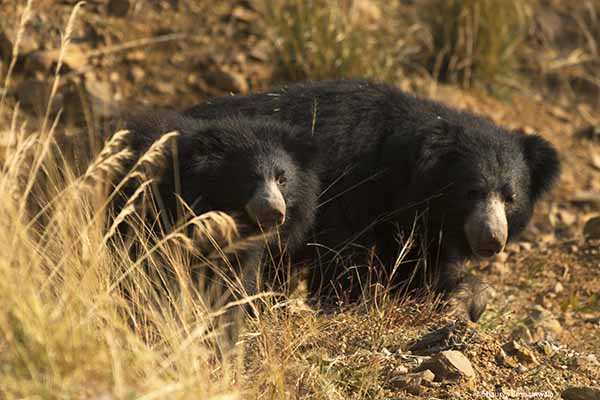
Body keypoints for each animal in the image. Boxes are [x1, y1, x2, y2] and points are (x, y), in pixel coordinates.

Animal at [185, 79, 560, 320]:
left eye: (509, 198)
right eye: (472, 192)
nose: (492, 238)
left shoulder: (418, 223)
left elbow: (420, 268)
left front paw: (464, 299)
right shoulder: (347, 193)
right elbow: (342, 259)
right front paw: (349, 302)